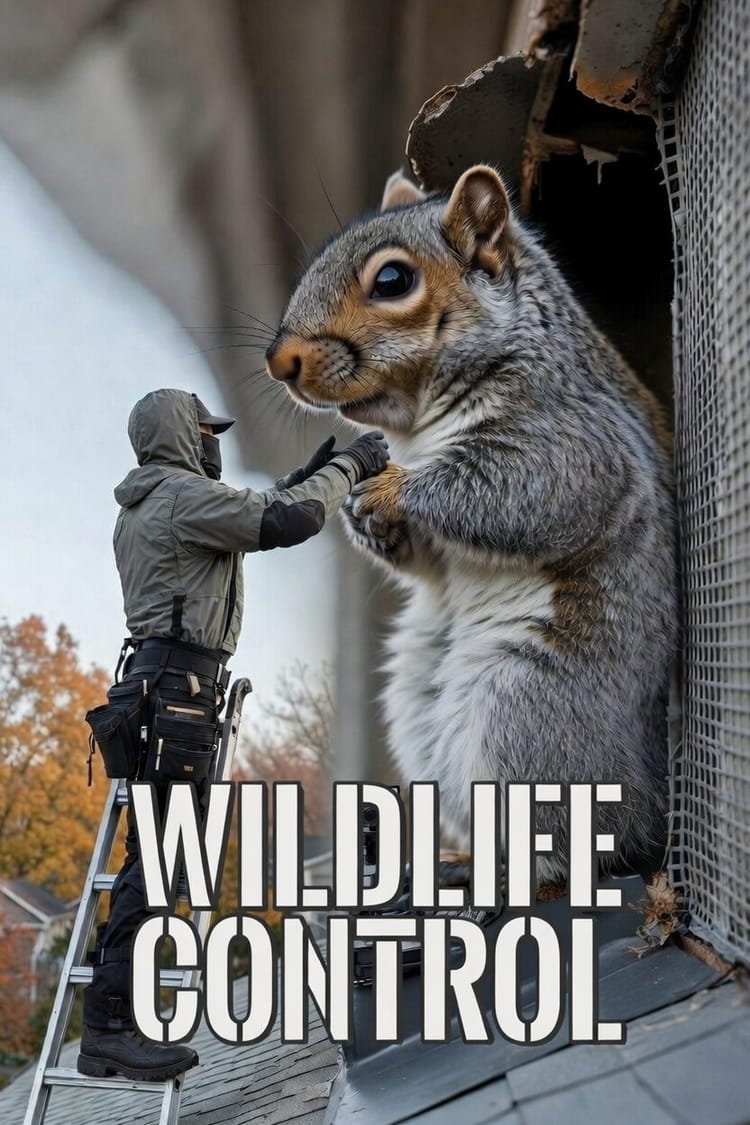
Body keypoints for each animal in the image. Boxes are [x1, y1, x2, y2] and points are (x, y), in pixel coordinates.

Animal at [266, 163, 678, 884]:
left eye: (392, 280)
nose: (279, 359)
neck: (419, 425)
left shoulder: (577, 440)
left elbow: (527, 493)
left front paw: (395, 489)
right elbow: (427, 562)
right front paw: (362, 513)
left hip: (527, 713)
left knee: (573, 841)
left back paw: (511, 875)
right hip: (420, 714)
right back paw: (459, 859)